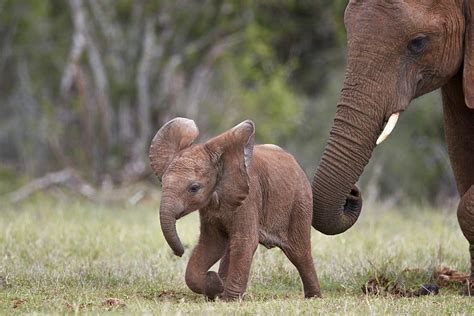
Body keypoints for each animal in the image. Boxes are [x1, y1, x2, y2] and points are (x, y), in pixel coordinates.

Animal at [150, 117, 320, 300]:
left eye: (194, 188)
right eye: (163, 183)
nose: (179, 253)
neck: (224, 162)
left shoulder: (249, 199)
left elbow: (245, 242)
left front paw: (228, 298)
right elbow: (212, 243)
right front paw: (215, 286)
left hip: (300, 202)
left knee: (299, 252)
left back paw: (314, 297)